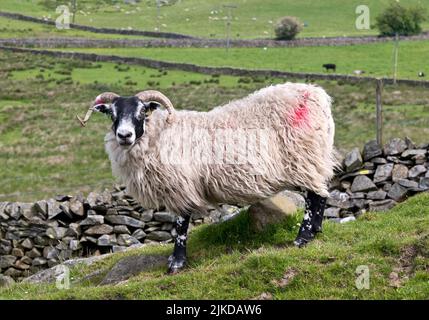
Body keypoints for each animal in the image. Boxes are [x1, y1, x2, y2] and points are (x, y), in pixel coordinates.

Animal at [77, 82, 338, 272]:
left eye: (142, 111)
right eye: (112, 114)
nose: (124, 135)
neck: (159, 134)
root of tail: (318, 95)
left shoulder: (180, 185)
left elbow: (181, 225)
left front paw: (177, 263)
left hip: (302, 158)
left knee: (313, 195)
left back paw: (302, 238)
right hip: (313, 159)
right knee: (322, 192)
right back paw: (316, 230)